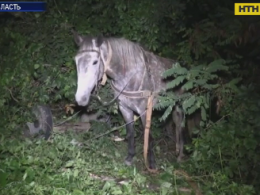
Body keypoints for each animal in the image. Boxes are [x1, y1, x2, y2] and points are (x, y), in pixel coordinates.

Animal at [72, 31, 200, 170]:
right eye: (76, 61)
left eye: (95, 62)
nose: (80, 98)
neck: (130, 76)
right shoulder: (125, 109)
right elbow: (130, 133)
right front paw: (130, 157)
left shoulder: (145, 111)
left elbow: (148, 137)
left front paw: (152, 164)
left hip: (181, 105)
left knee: (181, 126)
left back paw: (180, 155)